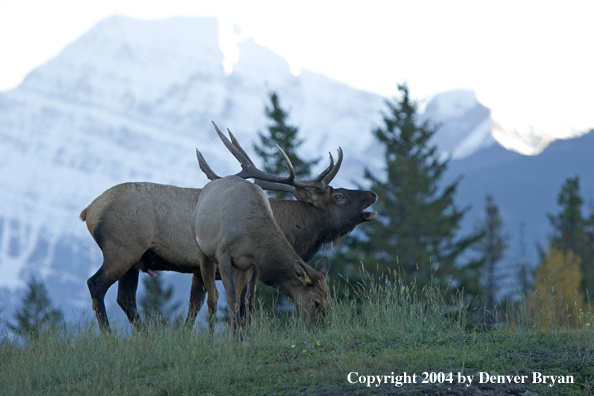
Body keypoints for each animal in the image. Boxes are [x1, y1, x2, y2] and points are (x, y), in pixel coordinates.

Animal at [80, 122, 374, 330]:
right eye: (339, 196)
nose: (372, 194)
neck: (291, 232)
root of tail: (88, 211)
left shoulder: (204, 269)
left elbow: (199, 305)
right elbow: (238, 304)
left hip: (135, 261)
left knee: (125, 299)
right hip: (123, 249)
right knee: (96, 285)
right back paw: (108, 336)